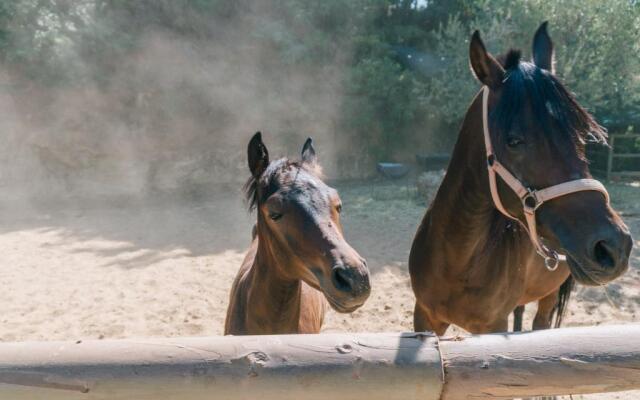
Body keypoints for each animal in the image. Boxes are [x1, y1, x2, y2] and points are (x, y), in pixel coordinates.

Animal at [410, 21, 632, 334]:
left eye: (580, 136)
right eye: (514, 140)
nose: (614, 246)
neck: (457, 260)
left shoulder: (492, 327)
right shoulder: (425, 317)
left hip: (549, 294)